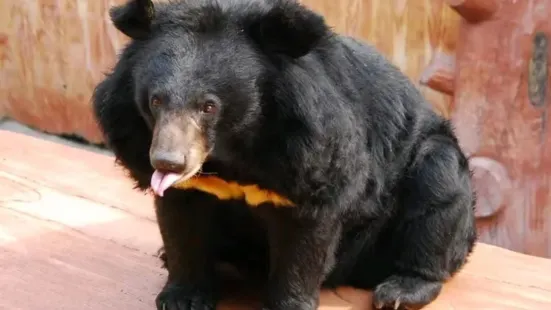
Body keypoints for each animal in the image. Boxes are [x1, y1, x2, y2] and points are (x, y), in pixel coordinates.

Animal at [92, 0, 476, 310]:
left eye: (208, 106)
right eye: (155, 100)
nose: (167, 162)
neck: (231, 151)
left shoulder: (311, 147)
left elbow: (306, 229)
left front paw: (288, 303)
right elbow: (181, 218)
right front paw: (181, 296)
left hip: (432, 165)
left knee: (437, 196)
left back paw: (401, 290)